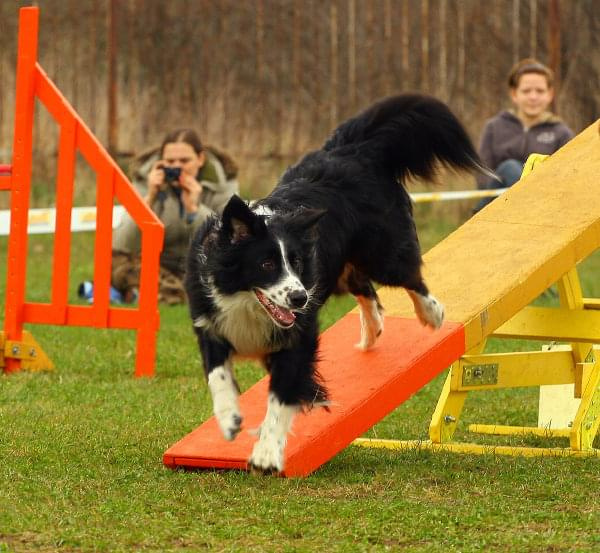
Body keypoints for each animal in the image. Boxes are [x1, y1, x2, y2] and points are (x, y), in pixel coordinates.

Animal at [186, 92, 488, 472]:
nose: (299, 298)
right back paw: (372, 331)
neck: (244, 300)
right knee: (364, 287)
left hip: (382, 252)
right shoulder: (210, 320)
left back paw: (432, 314)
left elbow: (282, 395)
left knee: (408, 275)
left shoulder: (298, 336)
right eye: (267, 264)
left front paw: (267, 454)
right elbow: (217, 375)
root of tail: (353, 149)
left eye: (296, 263)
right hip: (343, 268)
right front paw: (229, 419)